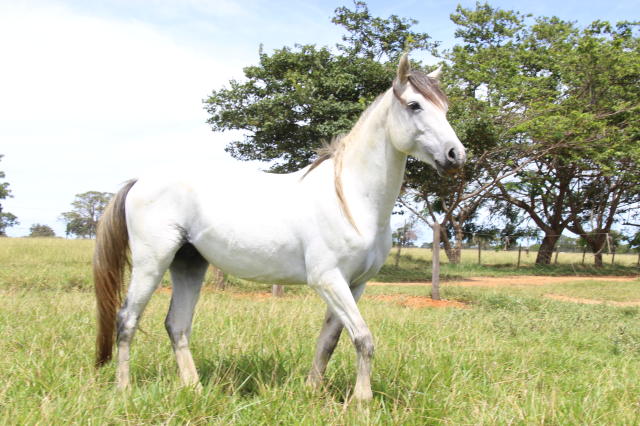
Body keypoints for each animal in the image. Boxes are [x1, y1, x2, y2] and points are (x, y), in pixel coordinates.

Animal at [92, 54, 464, 402]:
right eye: (415, 105)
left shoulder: (355, 284)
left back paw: (194, 390)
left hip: (189, 262)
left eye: (445, 107)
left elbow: (329, 340)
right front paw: (362, 400)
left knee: (177, 325)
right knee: (126, 319)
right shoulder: (328, 280)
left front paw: (313, 390)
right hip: (152, 261)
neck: (350, 197)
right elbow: (363, 338)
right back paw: (124, 389)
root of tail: (139, 181)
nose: (455, 155)